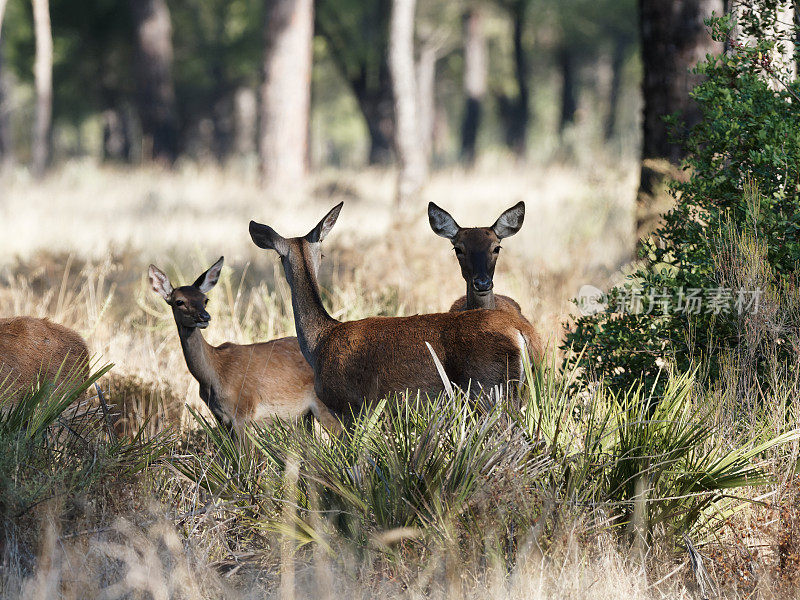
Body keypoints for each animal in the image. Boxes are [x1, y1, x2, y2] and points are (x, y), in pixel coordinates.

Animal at [148, 255, 340, 434]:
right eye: (179, 301)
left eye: (205, 300)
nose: (204, 317)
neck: (212, 377)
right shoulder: (221, 418)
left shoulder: (243, 412)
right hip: (303, 417)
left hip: (326, 406)